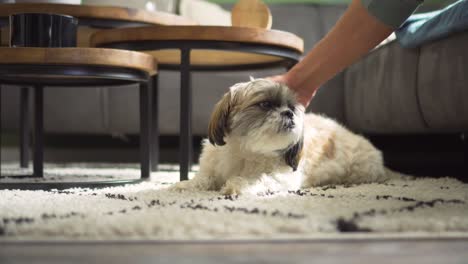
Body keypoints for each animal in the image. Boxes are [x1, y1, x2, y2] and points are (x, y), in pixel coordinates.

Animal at [170, 77, 404, 195]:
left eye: (291, 107)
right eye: (265, 104)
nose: (288, 113)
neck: (246, 150)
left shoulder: (282, 176)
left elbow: (260, 179)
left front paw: (238, 185)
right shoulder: (212, 166)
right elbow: (204, 178)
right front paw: (185, 185)